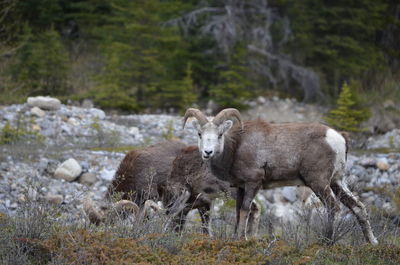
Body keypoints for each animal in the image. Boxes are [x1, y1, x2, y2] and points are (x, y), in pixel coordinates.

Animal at [184, 106, 378, 243]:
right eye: (200, 134)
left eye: (219, 134)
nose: (207, 152)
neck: (236, 148)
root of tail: (339, 138)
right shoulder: (240, 187)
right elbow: (238, 211)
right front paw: (234, 238)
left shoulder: (253, 183)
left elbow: (245, 210)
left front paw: (242, 239)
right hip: (337, 182)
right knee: (358, 207)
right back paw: (372, 242)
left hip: (319, 183)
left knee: (334, 208)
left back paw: (326, 241)